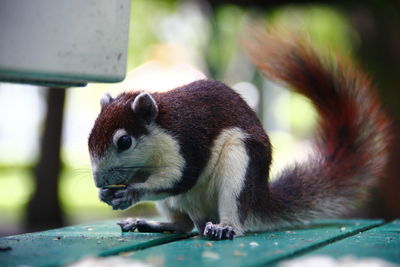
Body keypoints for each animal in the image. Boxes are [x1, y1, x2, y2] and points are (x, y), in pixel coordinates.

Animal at [88, 30, 390, 241]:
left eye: (124, 141)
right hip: (174, 205)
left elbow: (178, 178)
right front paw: (107, 194)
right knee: (183, 224)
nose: (98, 181)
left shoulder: (187, 142)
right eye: (90, 137)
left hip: (239, 165)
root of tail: (259, 197)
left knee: (224, 214)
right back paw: (145, 223)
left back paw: (224, 228)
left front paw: (132, 192)